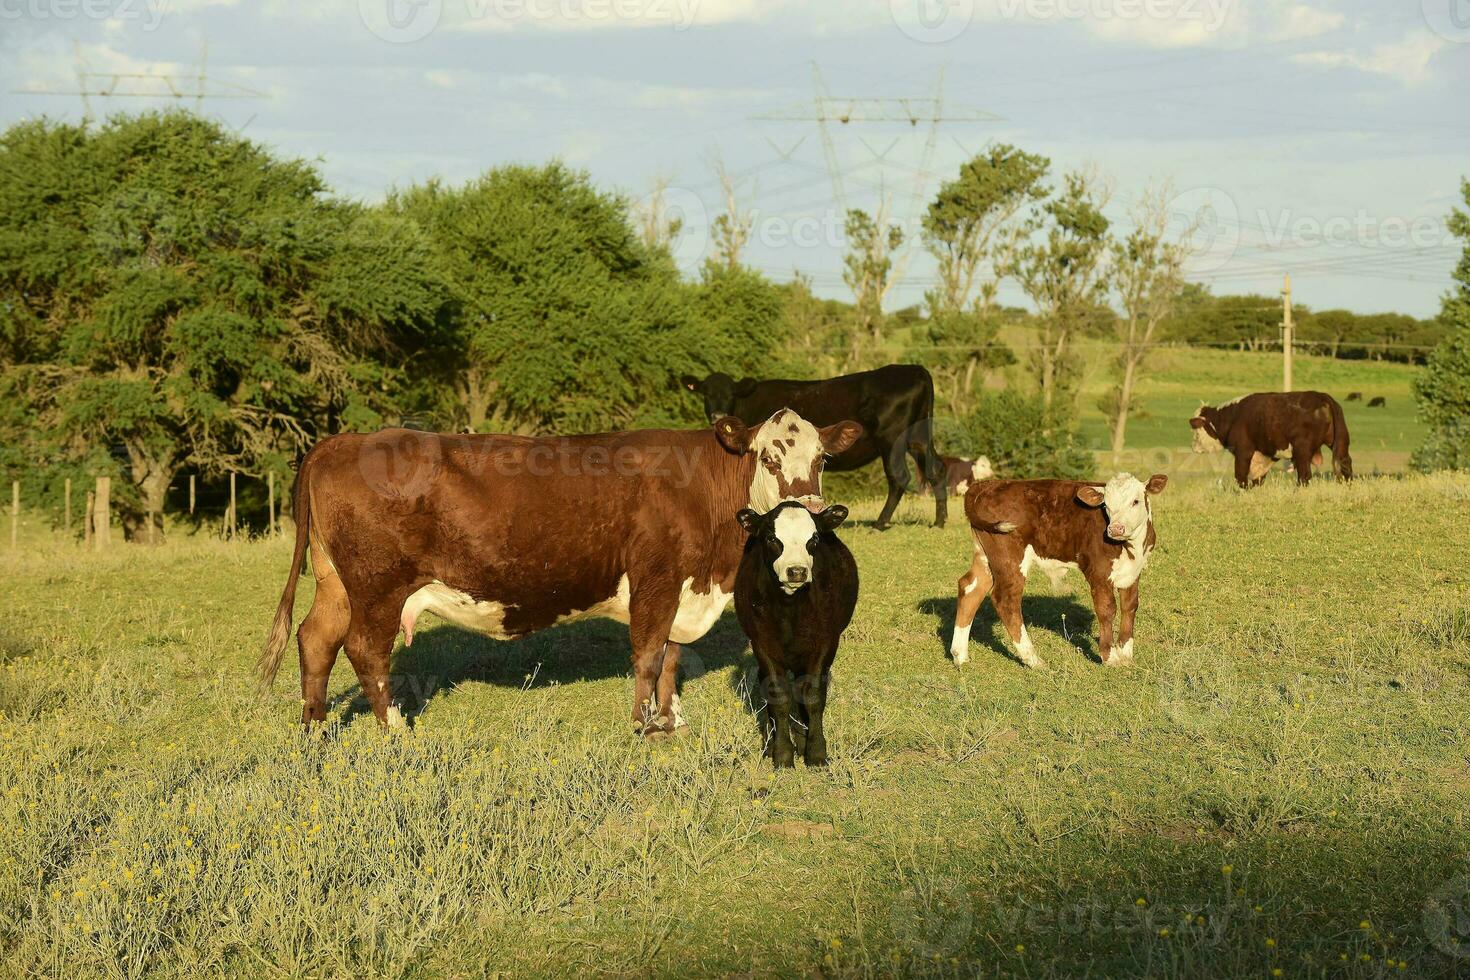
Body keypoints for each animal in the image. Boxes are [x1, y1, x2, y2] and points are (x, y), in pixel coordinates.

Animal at [257, 408, 858, 734]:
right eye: (769, 458)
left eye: (822, 459)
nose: (810, 510)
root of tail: (344, 441)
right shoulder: (656, 579)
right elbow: (647, 654)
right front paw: (645, 726)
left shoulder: (684, 589)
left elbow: (670, 658)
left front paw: (673, 720)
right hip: (379, 586)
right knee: (364, 650)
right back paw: (396, 730)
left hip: (337, 582)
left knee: (316, 639)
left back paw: (313, 729)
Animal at [682, 364, 946, 528]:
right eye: (706, 393)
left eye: (730, 394)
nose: (717, 415)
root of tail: (915, 369)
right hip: (919, 437)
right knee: (936, 469)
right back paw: (939, 521)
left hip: (892, 439)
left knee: (898, 477)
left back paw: (880, 524)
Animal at [735, 505, 858, 764]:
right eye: (772, 538)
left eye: (814, 539)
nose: (797, 571)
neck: (790, 609)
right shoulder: (762, 646)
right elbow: (778, 697)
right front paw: (782, 754)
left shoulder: (825, 643)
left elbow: (812, 696)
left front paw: (816, 752)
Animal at [952, 473, 1170, 669]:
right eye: (1106, 505)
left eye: (1135, 501)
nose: (1115, 529)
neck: (1132, 548)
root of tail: (986, 485)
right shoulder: (1098, 572)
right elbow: (1107, 609)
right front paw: (1110, 658)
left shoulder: (1133, 571)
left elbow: (1130, 606)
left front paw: (1125, 654)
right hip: (1009, 557)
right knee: (1005, 600)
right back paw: (1034, 660)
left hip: (985, 555)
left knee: (970, 587)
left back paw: (960, 656)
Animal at [1181, 387, 1352, 487]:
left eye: (1195, 431)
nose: (1193, 447)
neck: (1233, 416)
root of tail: (1322, 397)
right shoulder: (1264, 454)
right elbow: (1258, 478)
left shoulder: (1243, 451)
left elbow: (1241, 476)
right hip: (1340, 443)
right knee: (1346, 466)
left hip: (1302, 450)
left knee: (1304, 476)